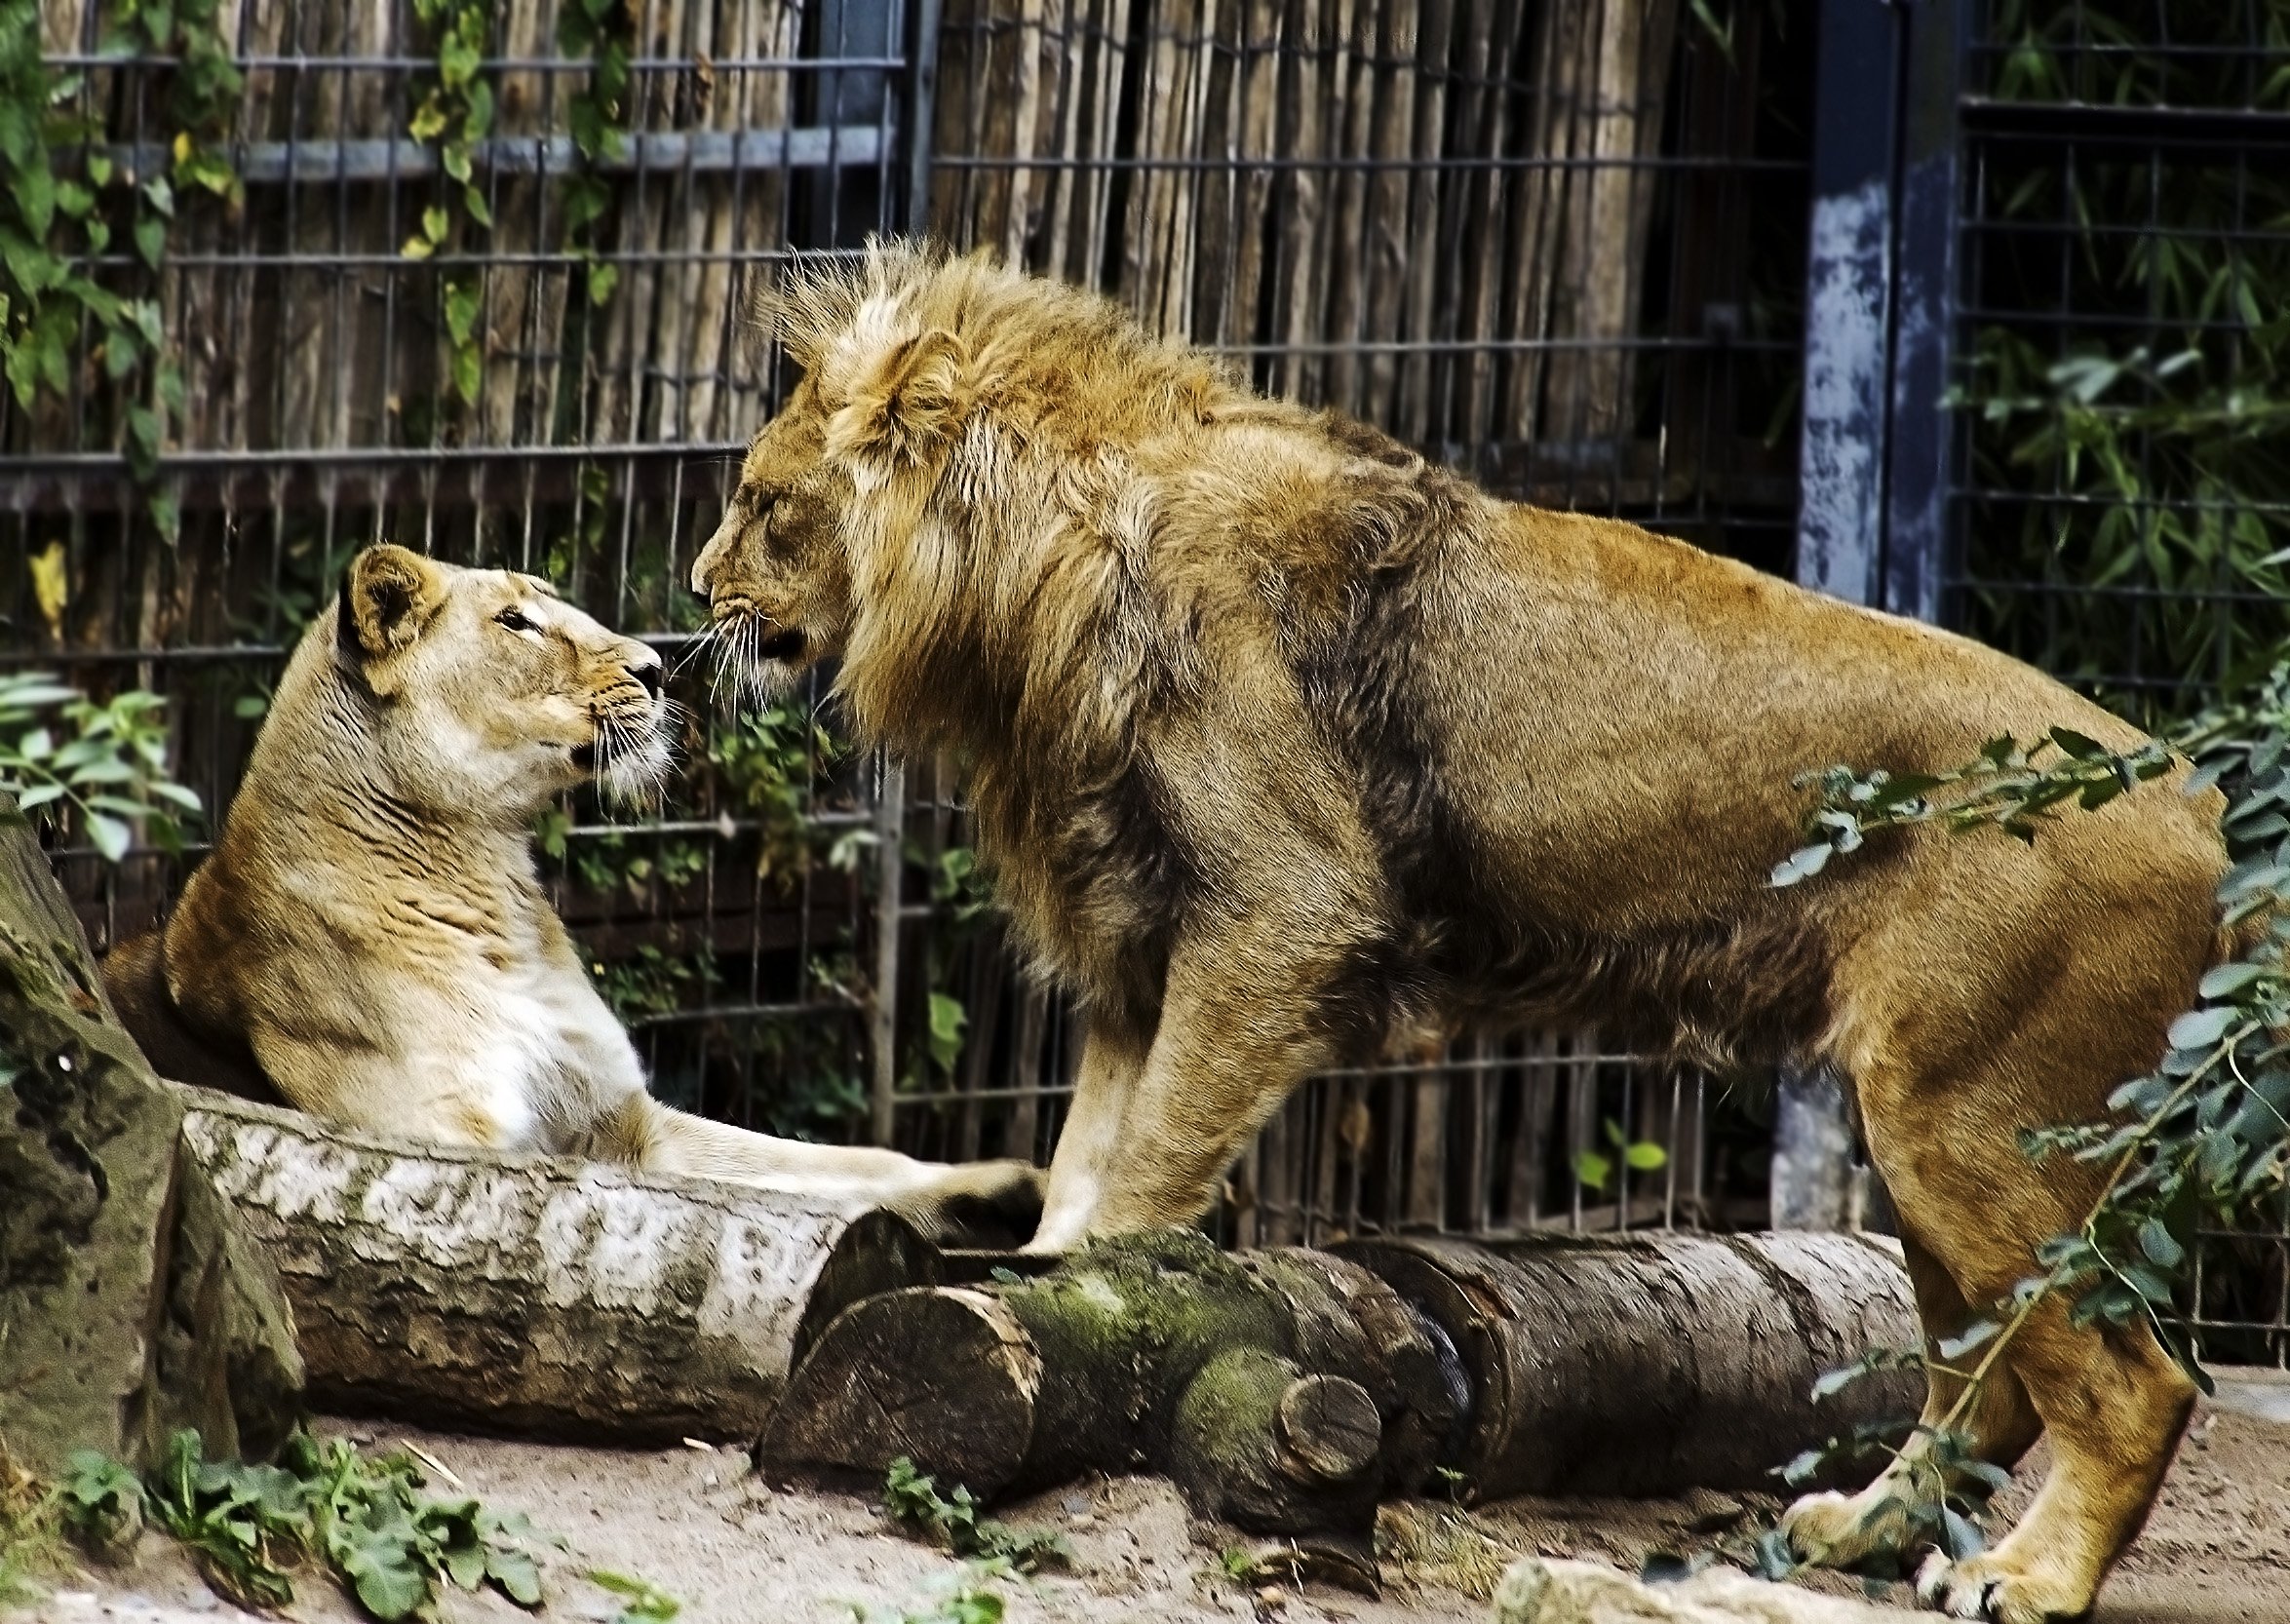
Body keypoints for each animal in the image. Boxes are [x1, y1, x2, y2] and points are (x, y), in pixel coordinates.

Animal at [105, 538, 1039, 1236]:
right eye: (516, 622)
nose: (657, 667)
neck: (490, 880)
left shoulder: (625, 1120)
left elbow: (830, 1162)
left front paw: (997, 1187)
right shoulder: (445, 1137)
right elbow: (747, 1194)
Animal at [686, 244, 2226, 1621]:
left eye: (762, 504)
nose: (697, 594)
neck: (1044, 568)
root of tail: (2206, 803)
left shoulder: (1280, 908)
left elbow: (1142, 1170)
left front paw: (1110, 1315)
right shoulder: (1145, 926)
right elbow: (1083, 1156)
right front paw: (1049, 1283)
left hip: (1971, 1121)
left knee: (2137, 1385)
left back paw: (2023, 1579)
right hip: (1924, 1127)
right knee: (1991, 1380)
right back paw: (1865, 1531)